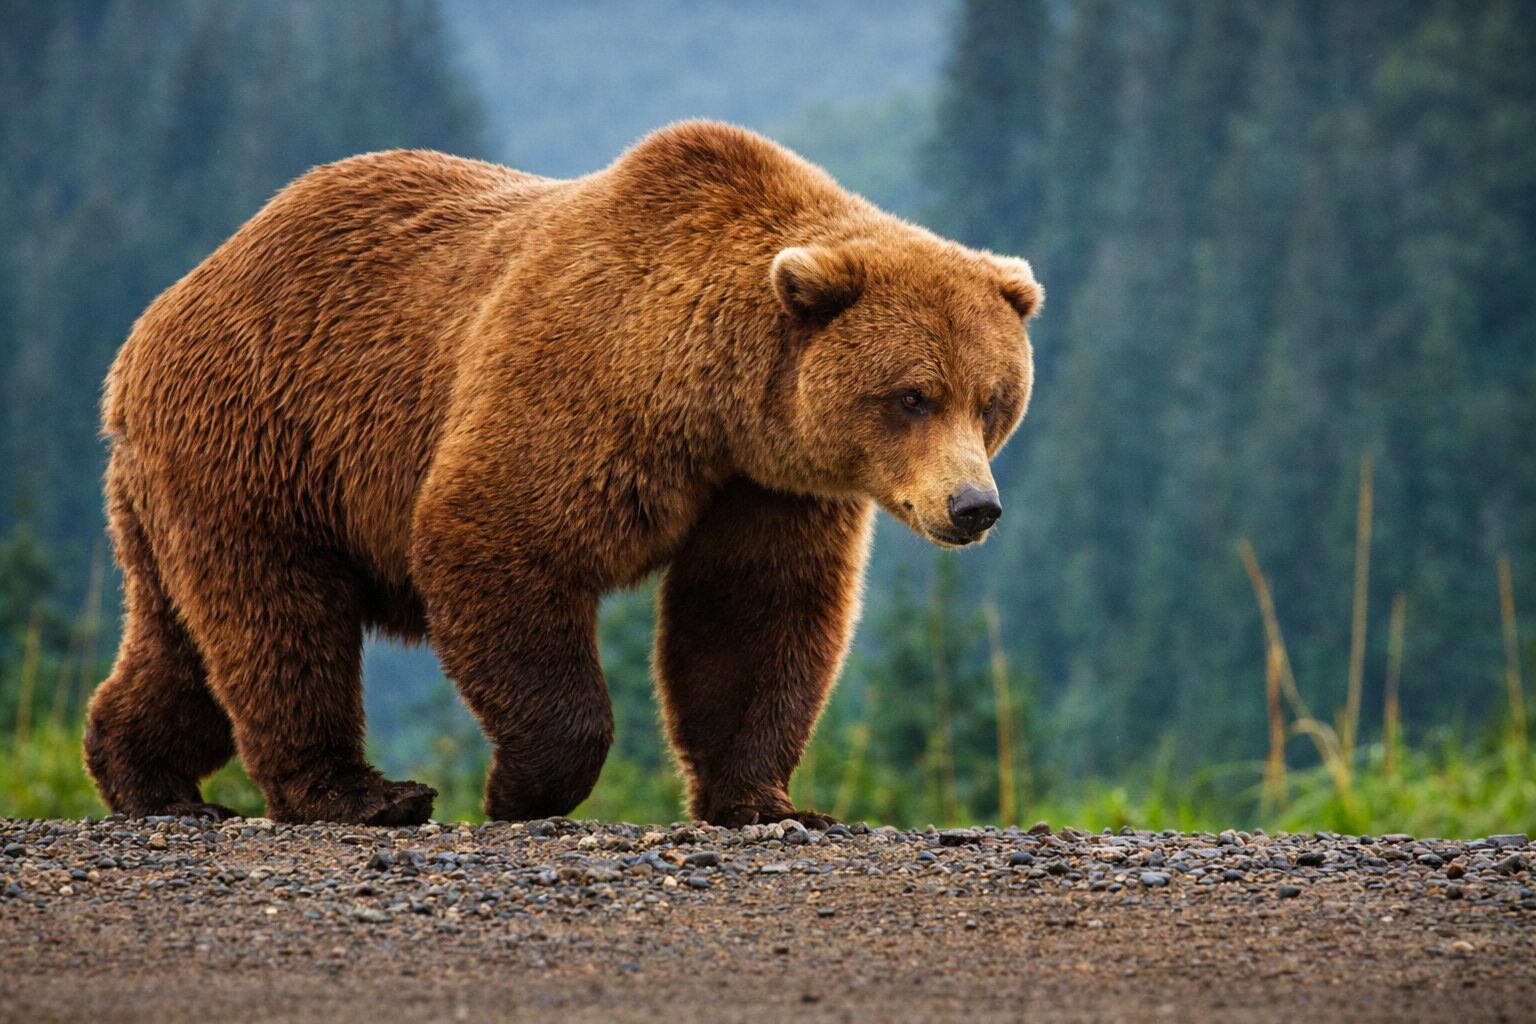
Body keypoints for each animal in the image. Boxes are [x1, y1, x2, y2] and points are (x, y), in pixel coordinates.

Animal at [84, 120, 1042, 827]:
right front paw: (521, 788)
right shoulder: (582, 387)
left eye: (993, 399)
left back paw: (147, 775)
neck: (714, 399)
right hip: (265, 437)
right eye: (913, 395)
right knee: (279, 620)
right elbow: (499, 537)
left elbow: (755, 613)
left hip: (186, 481)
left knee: (185, 642)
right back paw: (364, 794)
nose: (974, 506)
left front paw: (769, 802)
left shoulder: (767, 485)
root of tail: (162, 312)